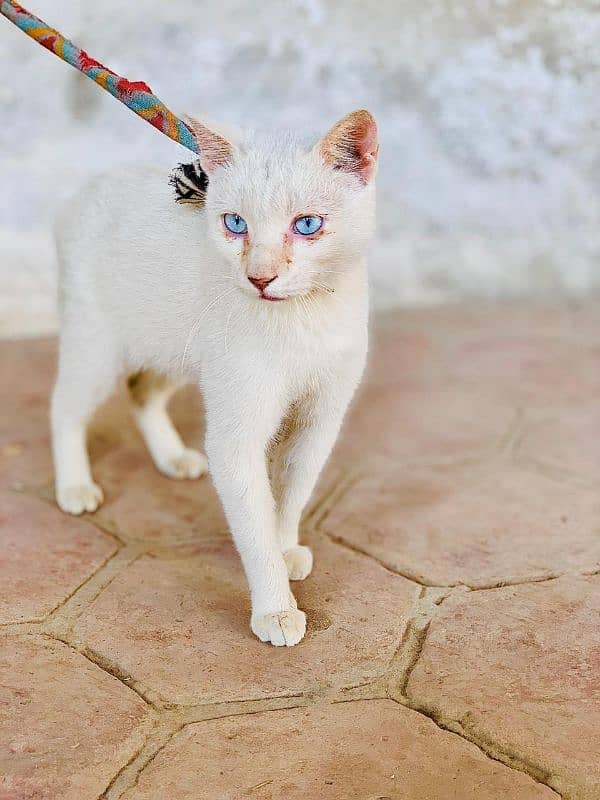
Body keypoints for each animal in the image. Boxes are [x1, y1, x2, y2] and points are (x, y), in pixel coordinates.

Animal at [52, 109, 380, 644]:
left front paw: (286, 546)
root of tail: (85, 189)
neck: (303, 320)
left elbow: (293, 491)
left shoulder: (319, 420)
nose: (260, 277)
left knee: (142, 391)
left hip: (176, 347)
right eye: (235, 224)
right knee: (65, 408)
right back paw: (74, 487)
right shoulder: (236, 433)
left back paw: (172, 458)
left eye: (307, 225)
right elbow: (253, 524)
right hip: (96, 344)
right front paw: (275, 609)